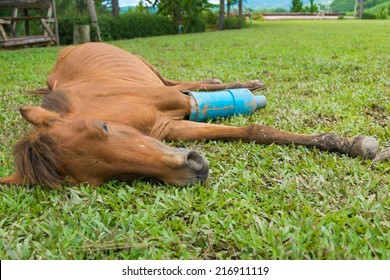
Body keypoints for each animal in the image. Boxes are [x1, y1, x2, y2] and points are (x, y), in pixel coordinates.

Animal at [0, 42, 378, 188]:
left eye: (103, 127)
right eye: (108, 178)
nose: (194, 169)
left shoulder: (172, 103)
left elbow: (253, 124)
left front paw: (354, 143)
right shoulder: (173, 130)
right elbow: (254, 131)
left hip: (149, 69)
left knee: (184, 83)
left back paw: (241, 83)